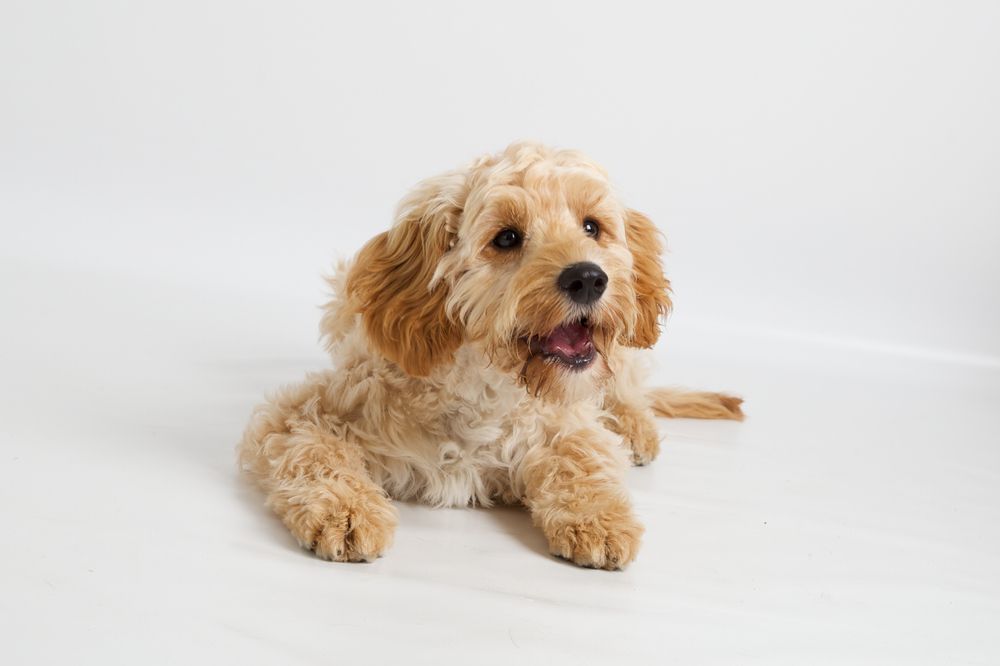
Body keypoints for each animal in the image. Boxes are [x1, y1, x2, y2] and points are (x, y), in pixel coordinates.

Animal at [240, 140, 744, 564]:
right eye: (506, 238)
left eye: (591, 227)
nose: (588, 278)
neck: (485, 389)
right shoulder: (308, 411)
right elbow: (314, 455)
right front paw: (346, 511)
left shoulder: (566, 420)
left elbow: (581, 455)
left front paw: (600, 517)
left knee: (626, 385)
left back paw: (635, 425)